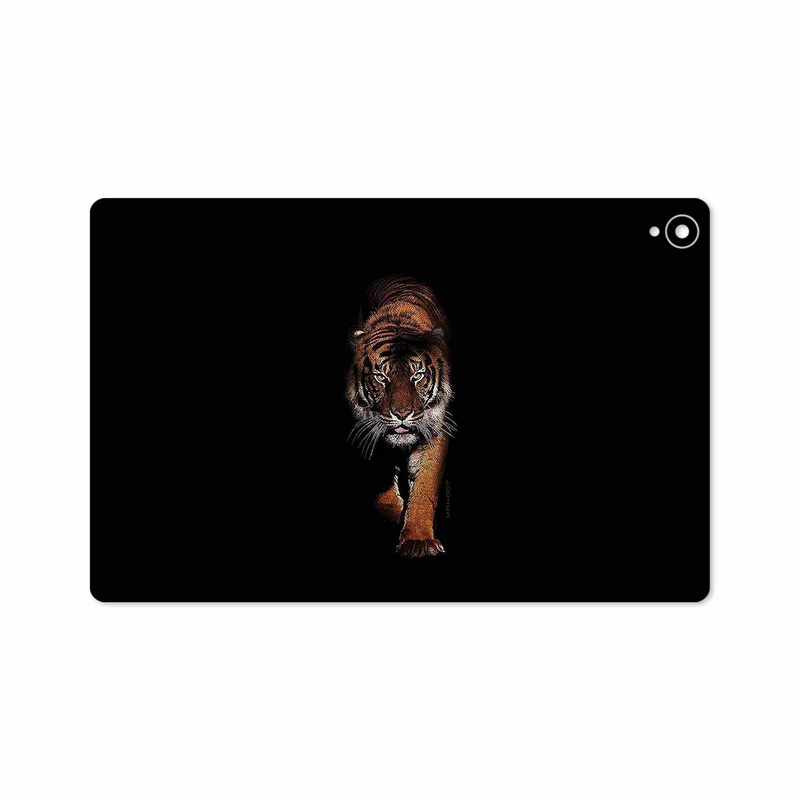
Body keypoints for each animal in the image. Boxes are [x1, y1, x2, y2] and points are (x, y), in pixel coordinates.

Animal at [346, 276, 455, 558]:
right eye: (380, 377)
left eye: (417, 376)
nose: (402, 413)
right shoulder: (370, 429)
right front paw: (392, 515)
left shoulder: (434, 429)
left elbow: (425, 488)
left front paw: (418, 540)